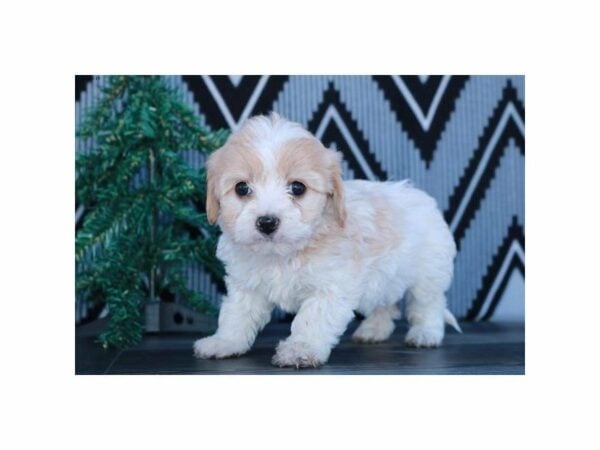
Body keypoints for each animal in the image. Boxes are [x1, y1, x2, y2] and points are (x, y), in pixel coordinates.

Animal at [195, 113, 462, 370]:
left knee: (428, 304)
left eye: (297, 187)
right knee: (385, 304)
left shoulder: (331, 287)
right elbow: (236, 314)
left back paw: (425, 333)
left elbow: (311, 319)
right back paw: (374, 330)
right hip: (385, 278)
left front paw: (301, 350)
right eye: (242, 188)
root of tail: (423, 198)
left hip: (428, 273)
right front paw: (224, 342)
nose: (267, 222)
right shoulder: (246, 285)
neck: (284, 254)